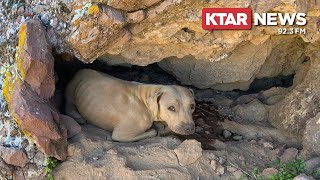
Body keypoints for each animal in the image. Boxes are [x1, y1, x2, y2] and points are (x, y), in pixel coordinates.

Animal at [64, 69, 195, 142]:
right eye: (171, 108)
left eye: (192, 106)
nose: (189, 128)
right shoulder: (121, 134)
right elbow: (153, 132)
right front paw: (154, 129)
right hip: (72, 88)